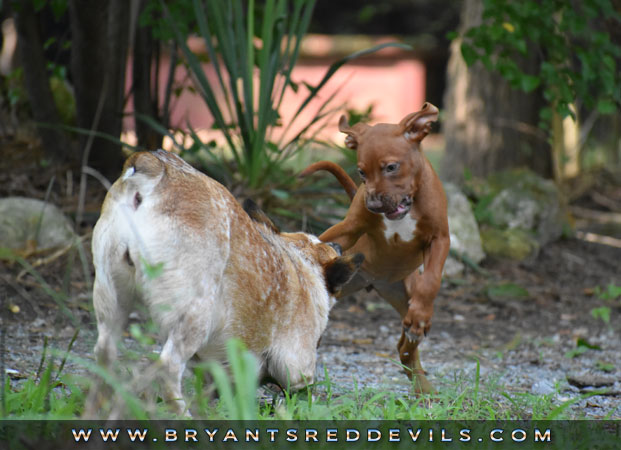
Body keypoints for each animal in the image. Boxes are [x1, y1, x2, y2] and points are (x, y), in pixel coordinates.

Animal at [88, 149, 360, 414]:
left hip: (112, 300)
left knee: (105, 355)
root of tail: (155, 166)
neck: (301, 261)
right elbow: (301, 391)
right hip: (194, 316)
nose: (336, 244)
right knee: (169, 368)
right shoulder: (296, 368)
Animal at [300, 103, 448, 394]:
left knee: (405, 347)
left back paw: (423, 385)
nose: (375, 205)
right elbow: (321, 242)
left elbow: (431, 281)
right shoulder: (348, 229)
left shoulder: (439, 239)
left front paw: (421, 316)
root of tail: (374, 282)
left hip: (403, 292)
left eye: (391, 167)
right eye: (361, 173)